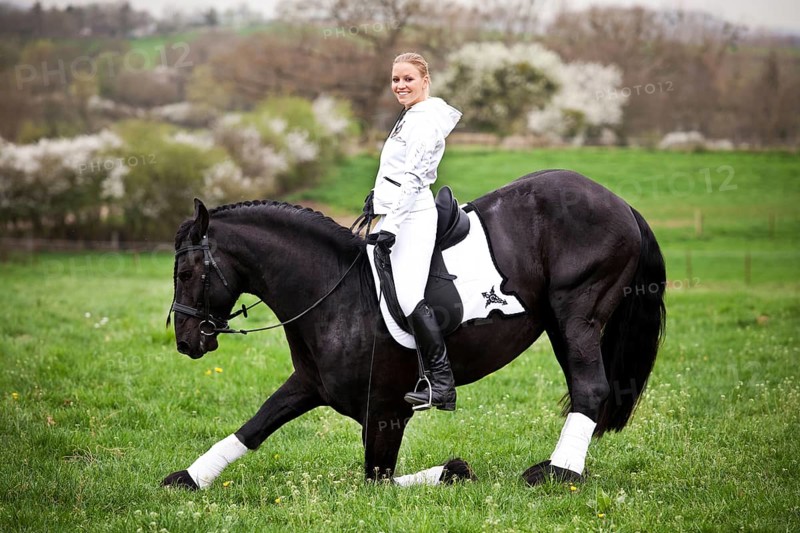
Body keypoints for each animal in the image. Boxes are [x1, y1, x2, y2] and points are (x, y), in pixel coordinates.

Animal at [161, 169, 666, 489]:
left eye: (186, 273)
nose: (185, 342)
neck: (335, 292)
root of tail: (619, 202)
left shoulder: (386, 413)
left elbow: (377, 481)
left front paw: (454, 471)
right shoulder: (309, 385)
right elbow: (255, 427)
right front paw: (188, 478)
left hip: (576, 315)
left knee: (590, 388)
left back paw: (557, 475)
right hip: (560, 325)